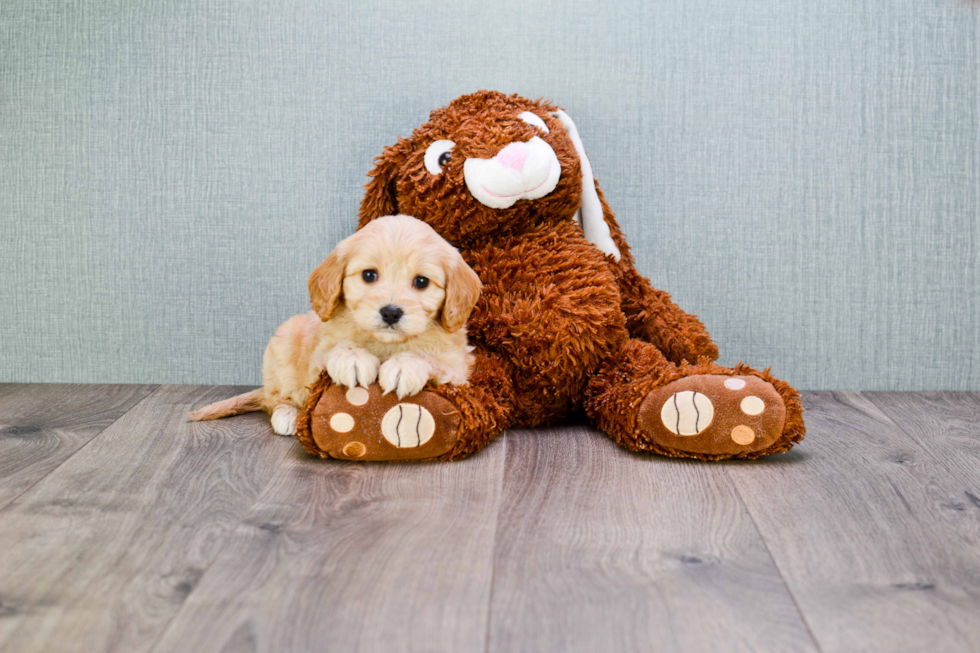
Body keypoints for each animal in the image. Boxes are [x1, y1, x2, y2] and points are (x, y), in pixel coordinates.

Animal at [188, 216, 482, 436]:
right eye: (369, 275)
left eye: (421, 282)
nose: (390, 312)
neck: (384, 344)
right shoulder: (316, 358)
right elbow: (336, 348)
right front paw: (352, 359)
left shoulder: (458, 368)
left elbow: (428, 358)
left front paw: (403, 365)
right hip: (282, 347)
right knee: (275, 399)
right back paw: (288, 416)